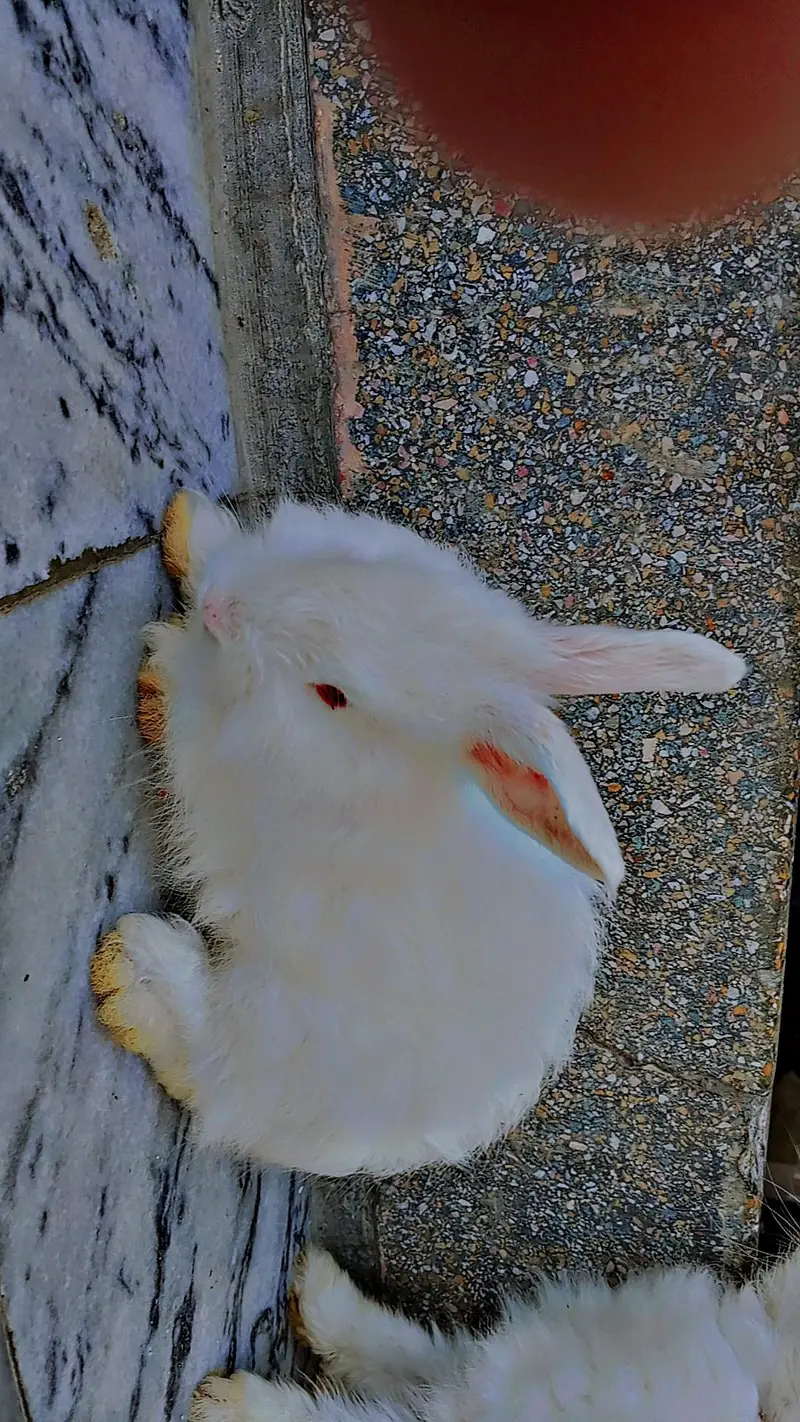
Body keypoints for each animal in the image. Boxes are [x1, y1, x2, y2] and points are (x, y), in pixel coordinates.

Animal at [91, 490, 746, 1178]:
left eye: (333, 694)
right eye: (357, 569)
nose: (222, 608)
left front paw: (162, 668)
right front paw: (188, 525)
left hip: (280, 1032)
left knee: (215, 1072)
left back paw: (127, 971)